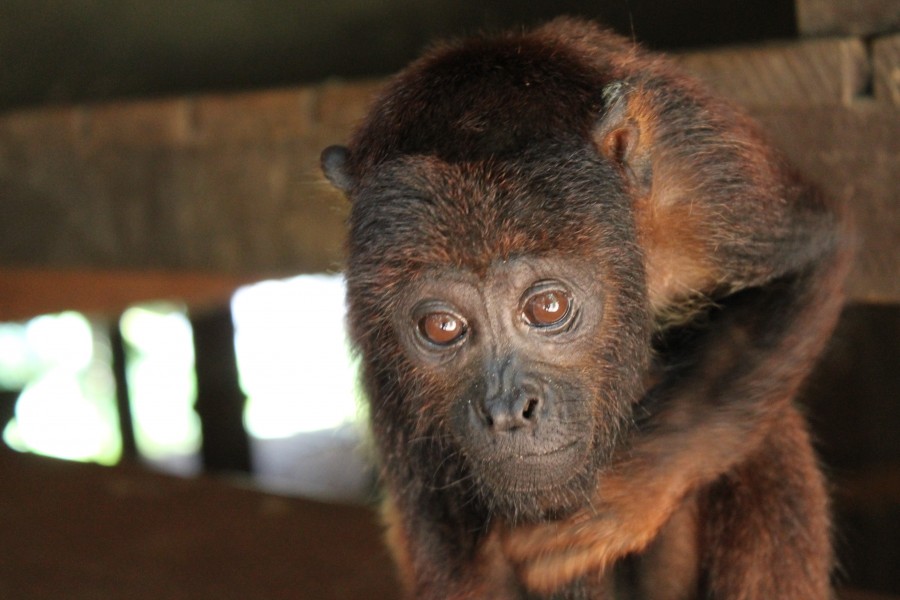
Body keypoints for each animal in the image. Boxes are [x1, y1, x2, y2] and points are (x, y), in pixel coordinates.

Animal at [320, 17, 849, 599]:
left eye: (548, 307)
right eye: (441, 327)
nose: (507, 410)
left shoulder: (694, 171)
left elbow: (810, 256)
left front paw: (629, 495)